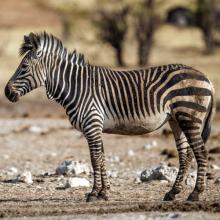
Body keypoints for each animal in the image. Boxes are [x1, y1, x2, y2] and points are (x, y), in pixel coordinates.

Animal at [4, 31, 215, 202]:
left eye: (24, 66)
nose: (6, 93)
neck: (76, 87)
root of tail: (207, 78)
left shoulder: (92, 124)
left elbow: (95, 158)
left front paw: (94, 193)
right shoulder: (94, 127)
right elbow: (101, 157)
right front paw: (103, 192)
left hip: (189, 117)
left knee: (201, 152)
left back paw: (195, 194)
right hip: (176, 120)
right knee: (185, 155)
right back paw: (172, 193)